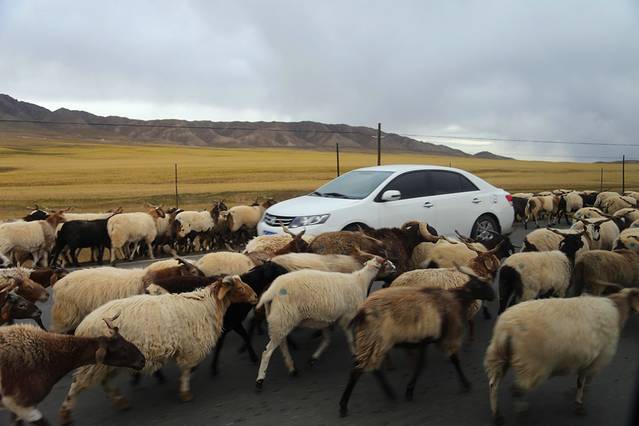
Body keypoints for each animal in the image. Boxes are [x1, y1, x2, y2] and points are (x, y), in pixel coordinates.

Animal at [58, 276, 257, 423]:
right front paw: (185, 392)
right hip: (96, 364)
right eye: (239, 289)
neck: (207, 305)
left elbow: (188, 369)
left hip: (109, 363)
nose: (255, 297)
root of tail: (82, 326)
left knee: (105, 382)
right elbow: (186, 370)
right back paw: (66, 414)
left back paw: (120, 402)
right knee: (77, 385)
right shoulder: (190, 348)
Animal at [254, 257, 396, 389]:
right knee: (267, 352)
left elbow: (326, 341)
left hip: (281, 320)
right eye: (387, 264)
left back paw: (292, 368)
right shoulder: (347, 318)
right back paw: (260, 380)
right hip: (282, 319)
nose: (396, 269)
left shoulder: (327, 321)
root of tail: (271, 292)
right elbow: (350, 339)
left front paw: (313, 358)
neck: (360, 281)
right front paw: (355, 356)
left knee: (282, 344)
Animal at [338, 267, 496, 416]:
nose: (493, 296)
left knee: (371, 368)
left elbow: (421, 365)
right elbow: (453, 360)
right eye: (481, 285)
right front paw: (466, 384)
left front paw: (409, 389)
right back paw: (344, 406)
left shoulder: (425, 340)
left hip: (372, 340)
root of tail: (362, 312)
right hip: (376, 338)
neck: (456, 299)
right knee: (359, 370)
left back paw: (389, 394)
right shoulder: (443, 337)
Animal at [484, 288, 639, 423]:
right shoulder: (597, 361)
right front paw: (579, 403)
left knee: (494, 386)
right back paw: (521, 411)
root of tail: (507, 329)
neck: (618, 310)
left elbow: (580, 382)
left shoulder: (587, 361)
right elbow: (584, 382)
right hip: (533, 365)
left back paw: (497, 416)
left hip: (500, 357)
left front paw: (577, 399)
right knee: (516, 390)